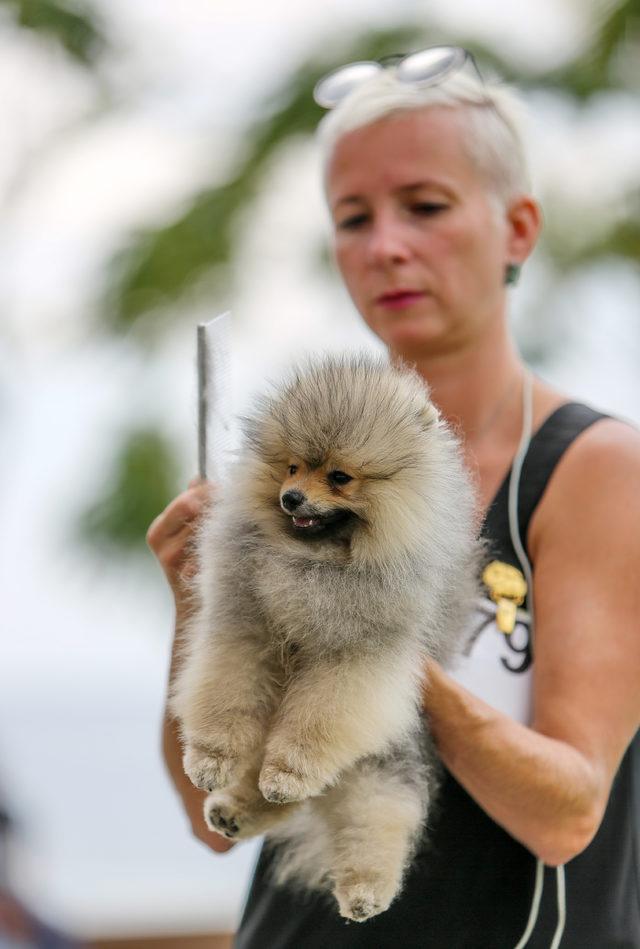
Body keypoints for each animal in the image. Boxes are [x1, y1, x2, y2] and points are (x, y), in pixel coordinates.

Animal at [171, 354, 480, 920]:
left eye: (339, 477)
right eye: (292, 467)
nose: (291, 497)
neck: (314, 563)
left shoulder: (351, 663)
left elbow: (316, 726)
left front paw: (290, 771)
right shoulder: (246, 629)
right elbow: (226, 693)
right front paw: (209, 759)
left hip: (380, 762)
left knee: (376, 814)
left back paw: (362, 887)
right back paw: (237, 808)